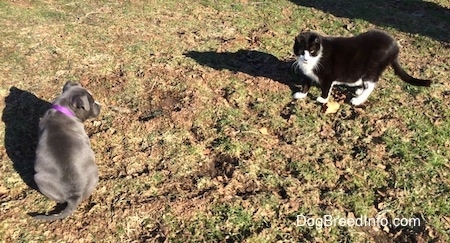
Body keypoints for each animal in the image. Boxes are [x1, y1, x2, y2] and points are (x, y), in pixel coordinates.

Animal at [290, 29, 430, 105]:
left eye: (312, 51)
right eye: (301, 52)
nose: (306, 59)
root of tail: (395, 47)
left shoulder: (328, 76)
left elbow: (325, 88)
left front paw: (322, 99)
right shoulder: (308, 74)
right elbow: (305, 84)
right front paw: (301, 94)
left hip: (373, 66)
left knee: (371, 84)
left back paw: (358, 100)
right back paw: (359, 91)